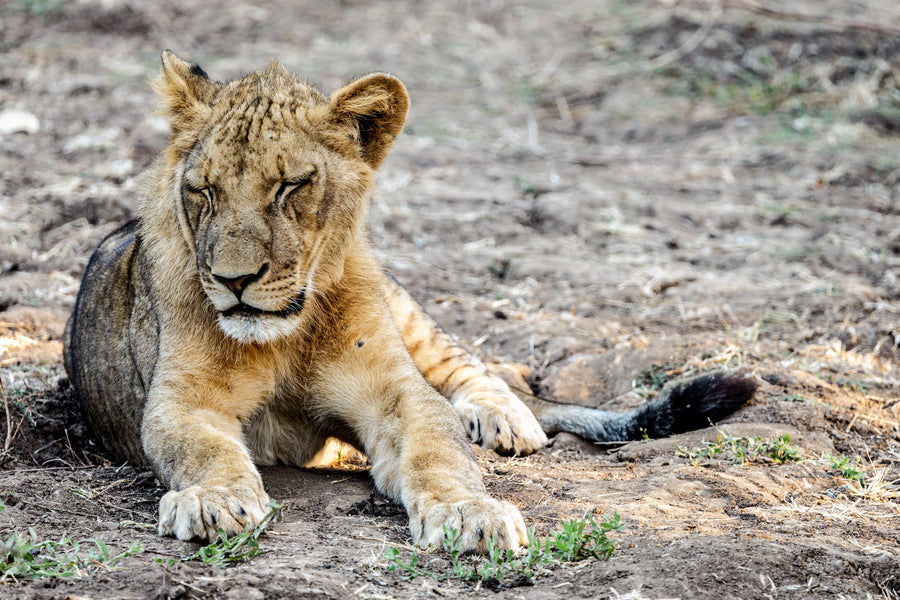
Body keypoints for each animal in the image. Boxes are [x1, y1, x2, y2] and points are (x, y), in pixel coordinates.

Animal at [63, 52, 756, 553]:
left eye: (290, 186)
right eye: (203, 191)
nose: (234, 280)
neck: (286, 334)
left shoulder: (395, 392)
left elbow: (439, 450)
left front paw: (470, 514)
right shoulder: (181, 403)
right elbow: (203, 450)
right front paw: (212, 501)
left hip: (408, 311)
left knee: (475, 370)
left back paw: (504, 419)